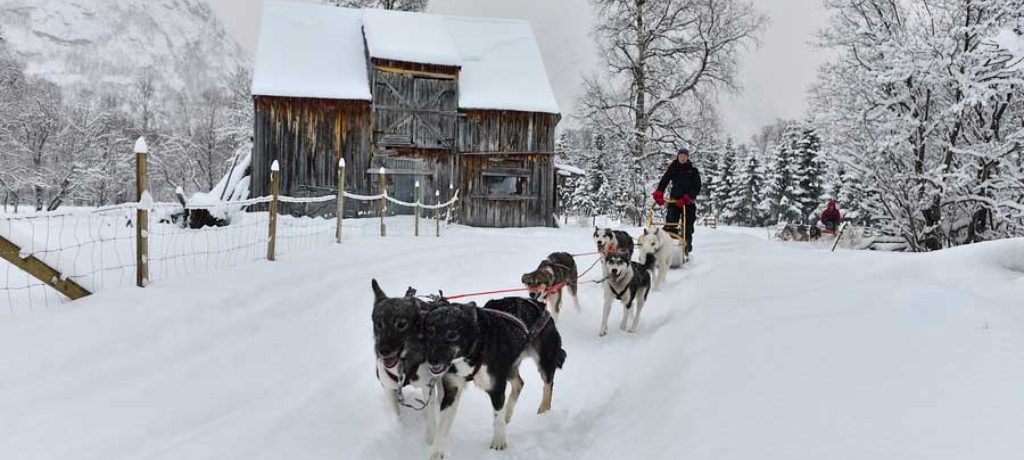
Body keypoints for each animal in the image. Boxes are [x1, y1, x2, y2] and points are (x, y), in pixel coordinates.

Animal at [372, 278, 444, 440]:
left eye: (401, 324)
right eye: (379, 324)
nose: (383, 351)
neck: (403, 365)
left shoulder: (427, 387)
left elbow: (431, 419)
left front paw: (431, 440)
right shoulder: (388, 388)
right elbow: (396, 416)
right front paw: (399, 432)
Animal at [423, 295, 569, 456]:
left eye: (452, 334)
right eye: (430, 332)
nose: (431, 360)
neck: (477, 349)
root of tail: (539, 304)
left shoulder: (497, 388)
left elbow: (497, 417)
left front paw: (499, 442)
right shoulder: (451, 391)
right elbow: (442, 428)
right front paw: (436, 453)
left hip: (544, 361)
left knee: (548, 385)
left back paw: (543, 411)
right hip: (509, 367)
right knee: (519, 383)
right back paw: (508, 414)